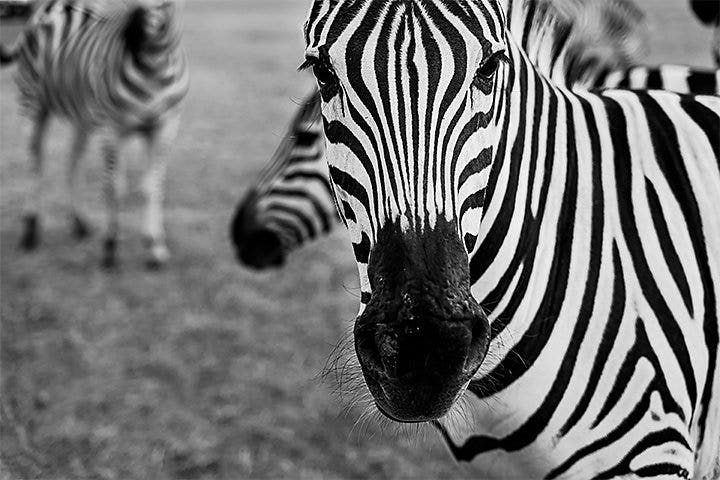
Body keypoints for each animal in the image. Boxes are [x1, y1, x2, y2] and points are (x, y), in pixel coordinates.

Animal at [0, 0, 189, 268]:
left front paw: (154, 248)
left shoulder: (166, 126)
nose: (130, 39)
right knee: (36, 164)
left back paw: (79, 223)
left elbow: (152, 187)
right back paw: (29, 231)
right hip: (33, 102)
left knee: (72, 159)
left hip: (84, 115)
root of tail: (49, 5)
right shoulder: (113, 128)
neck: (154, 65)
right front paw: (110, 248)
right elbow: (114, 186)